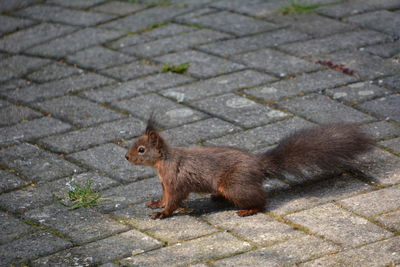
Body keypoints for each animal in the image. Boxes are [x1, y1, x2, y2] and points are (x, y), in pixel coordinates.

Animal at [124, 117, 372, 220]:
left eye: (142, 149)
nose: (126, 157)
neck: (163, 162)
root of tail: (258, 166)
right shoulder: (165, 183)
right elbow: (165, 197)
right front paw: (157, 204)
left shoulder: (176, 181)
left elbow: (174, 200)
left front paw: (162, 213)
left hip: (235, 185)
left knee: (262, 201)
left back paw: (248, 210)